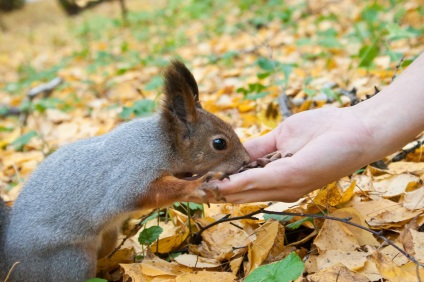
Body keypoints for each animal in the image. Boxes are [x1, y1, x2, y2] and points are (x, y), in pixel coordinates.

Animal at [0, 60, 250, 280]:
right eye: (219, 143)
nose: (246, 160)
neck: (162, 143)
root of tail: (11, 260)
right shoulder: (132, 171)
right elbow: (144, 193)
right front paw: (198, 185)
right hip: (71, 261)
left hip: (108, 236)